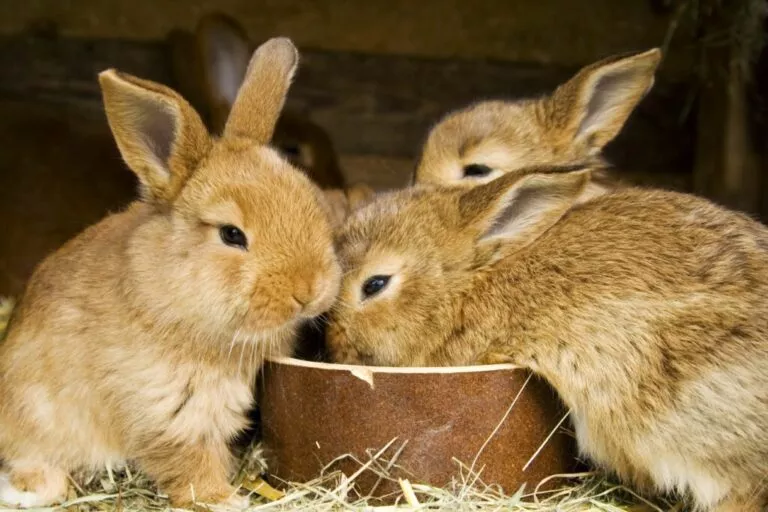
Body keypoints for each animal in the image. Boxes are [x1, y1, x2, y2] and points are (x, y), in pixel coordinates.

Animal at [0, 37, 342, 508]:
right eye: (231, 234)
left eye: (310, 200)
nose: (309, 290)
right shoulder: (168, 409)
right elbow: (191, 463)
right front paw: (223, 499)